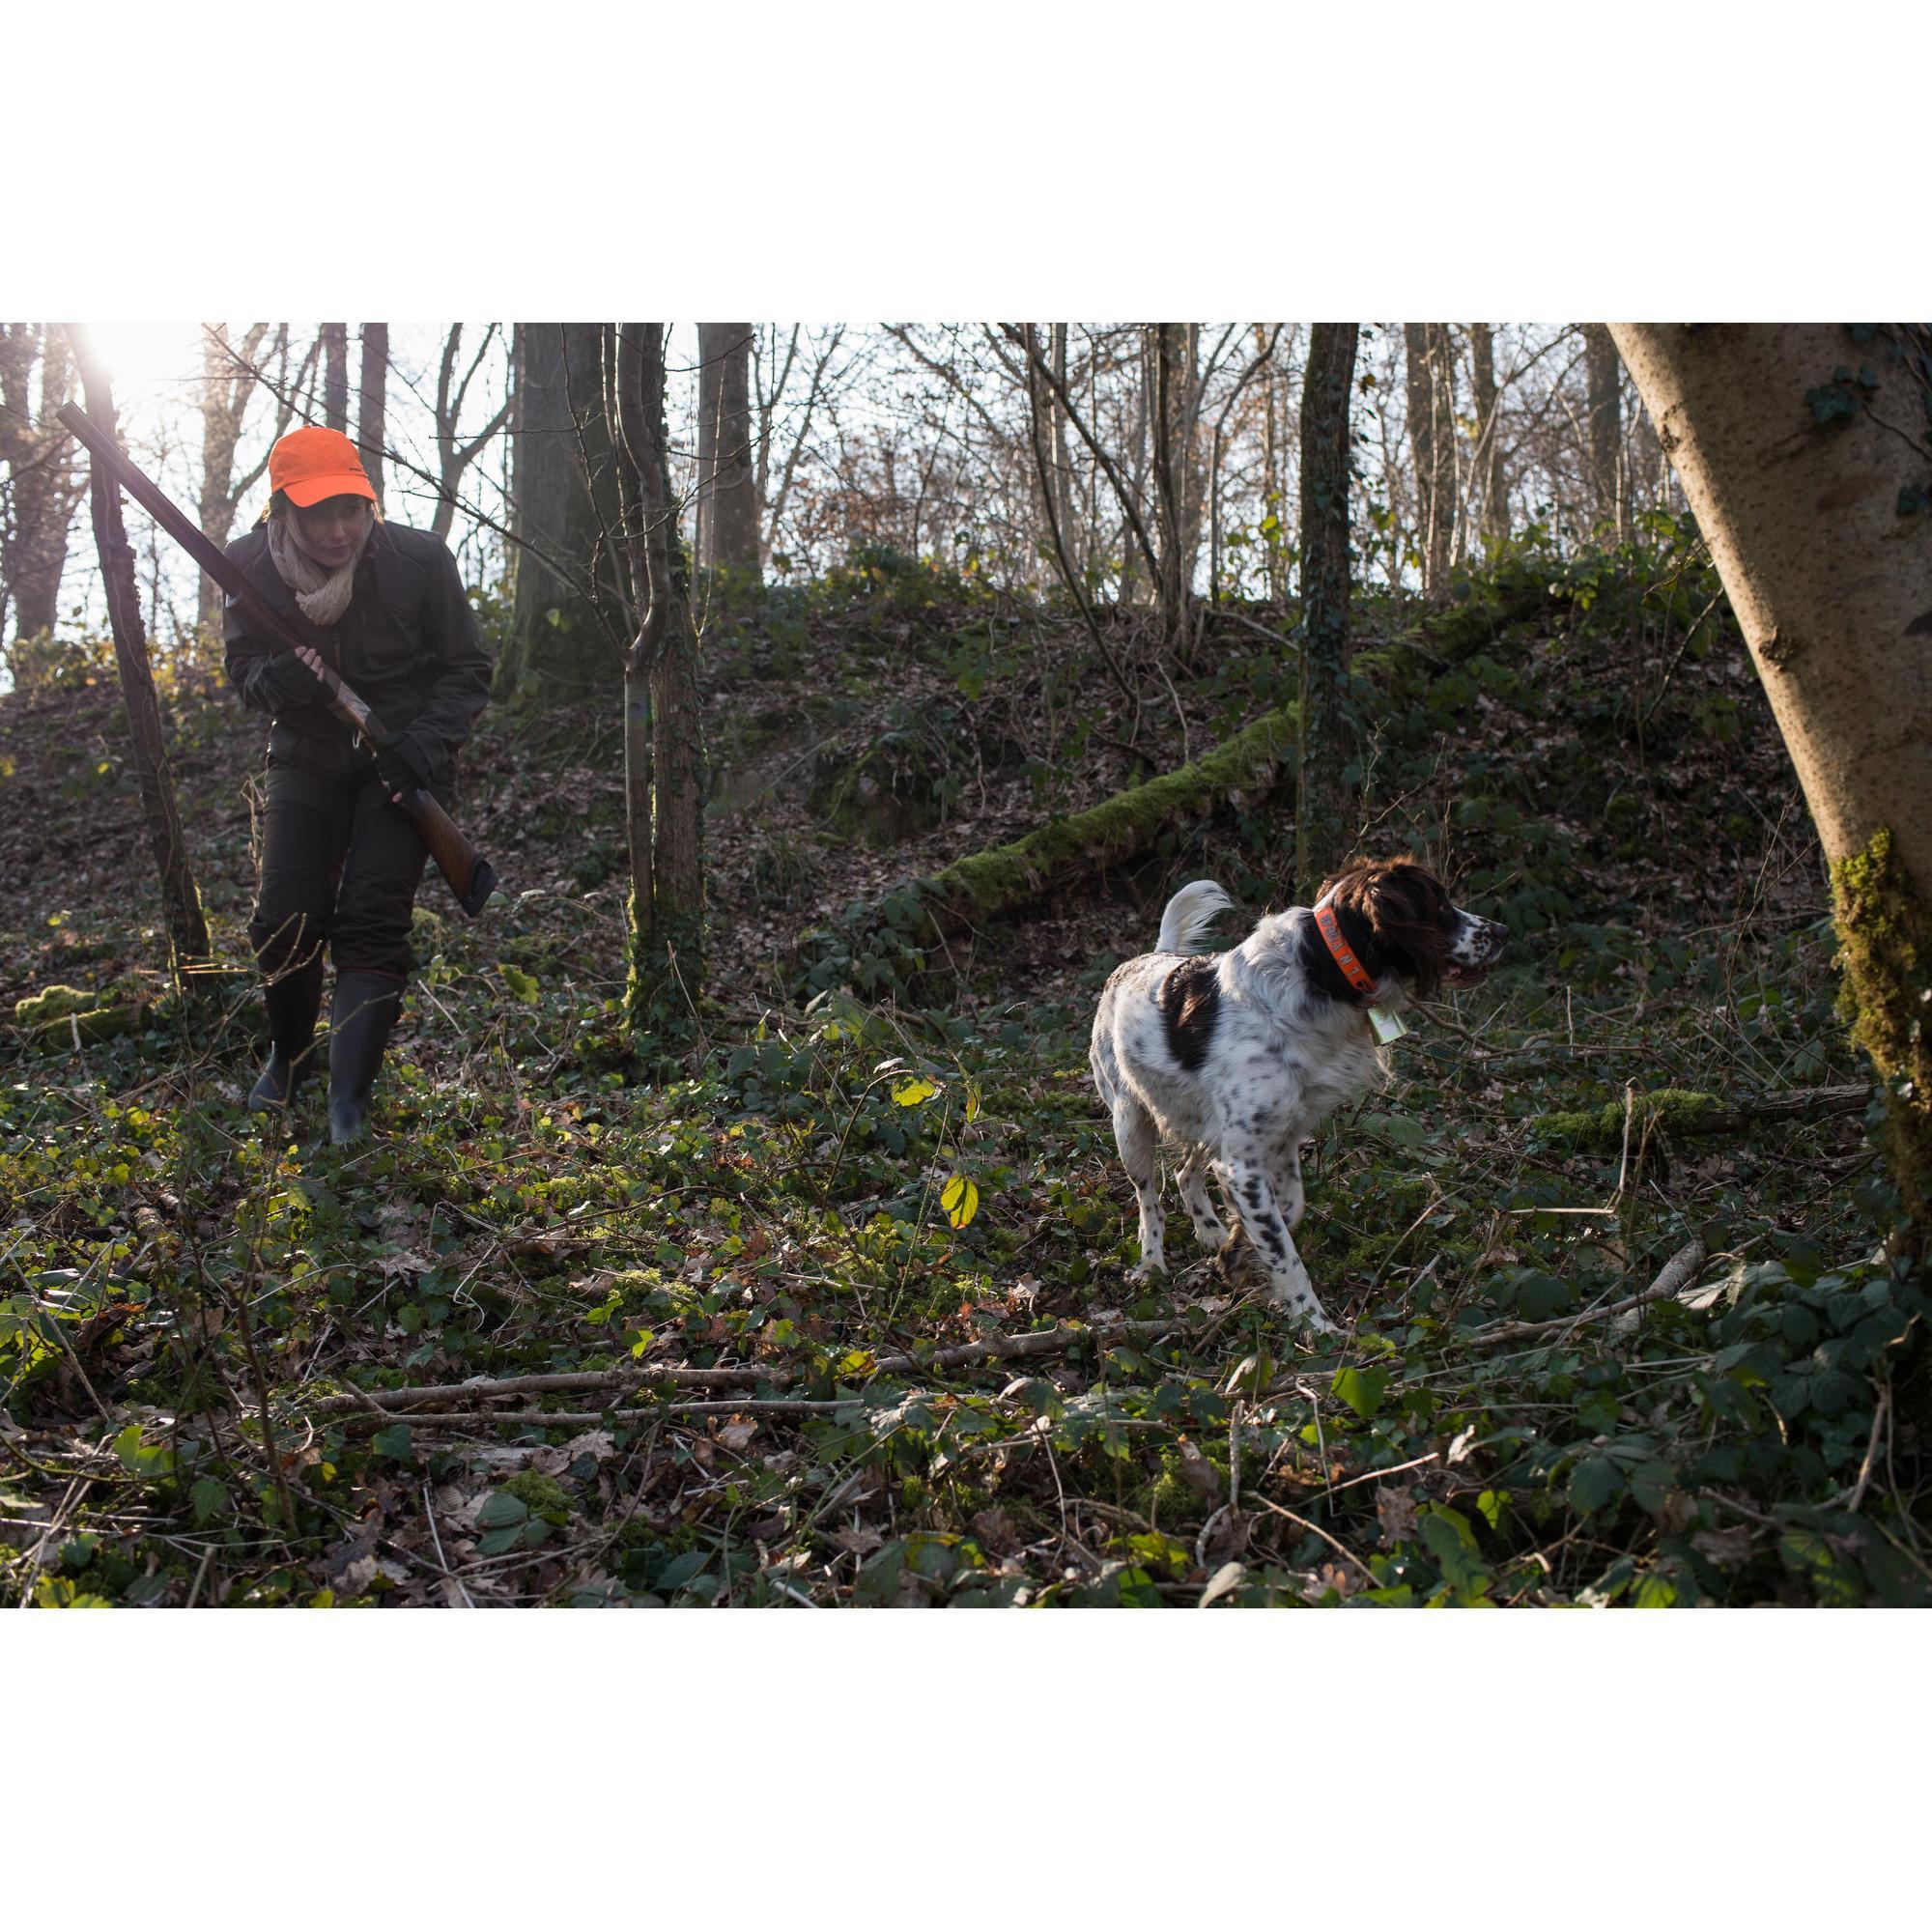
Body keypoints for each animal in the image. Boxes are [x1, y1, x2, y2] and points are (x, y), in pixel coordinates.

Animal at [1090, 858, 1507, 1329]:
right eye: (1440, 905)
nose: (1503, 931)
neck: (1317, 973)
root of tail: (1147, 957)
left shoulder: (1280, 1137)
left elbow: (1289, 1210)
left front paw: (1237, 1251)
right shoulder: (1244, 1160)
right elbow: (1284, 1249)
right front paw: (1315, 1323)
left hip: (1200, 1120)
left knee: (1184, 1172)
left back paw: (1210, 1230)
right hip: (1131, 1123)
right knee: (1148, 1199)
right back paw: (1150, 1262)